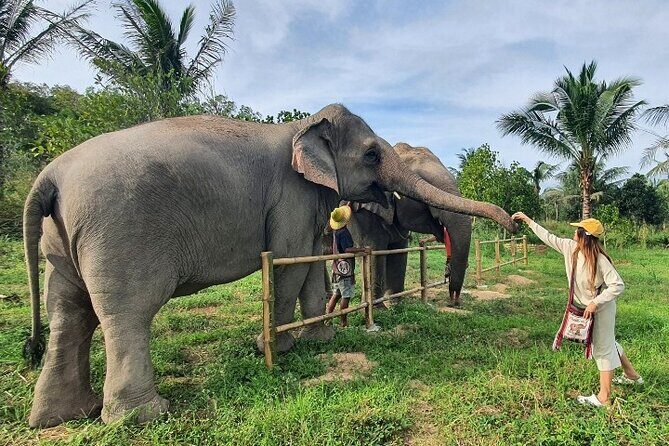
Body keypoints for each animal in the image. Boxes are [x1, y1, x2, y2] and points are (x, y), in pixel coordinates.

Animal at [346, 143, 471, 305]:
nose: (454, 300)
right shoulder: (364, 212)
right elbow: (373, 249)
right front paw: (379, 308)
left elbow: (399, 250)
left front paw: (396, 303)